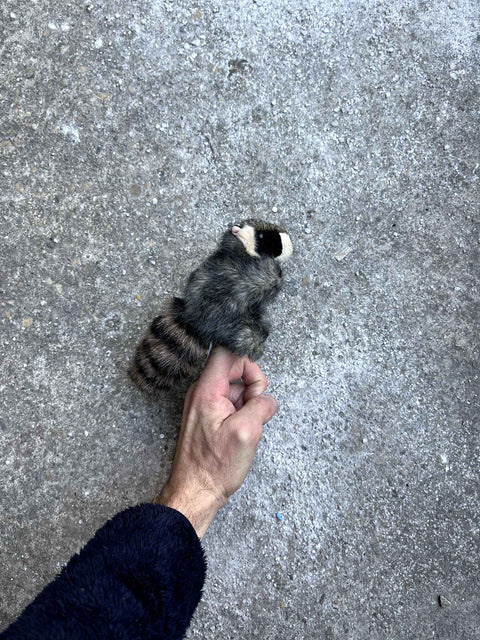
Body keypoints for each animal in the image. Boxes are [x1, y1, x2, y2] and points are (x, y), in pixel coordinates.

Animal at [129, 218, 293, 397]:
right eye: (264, 237)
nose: (290, 245)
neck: (241, 248)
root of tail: (194, 321)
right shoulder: (267, 273)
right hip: (241, 331)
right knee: (251, 336)